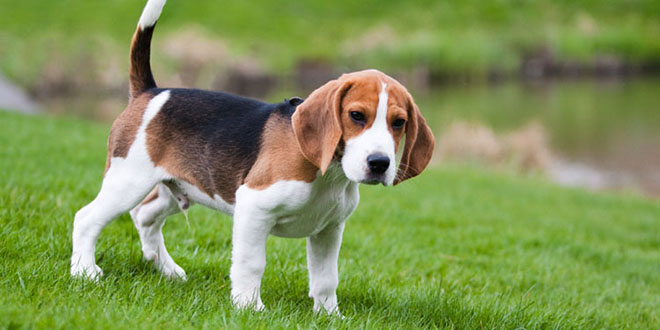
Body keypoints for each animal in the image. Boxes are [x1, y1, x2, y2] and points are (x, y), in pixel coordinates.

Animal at [71, 0, 434, 314]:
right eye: (357, 116)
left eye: (398, 123)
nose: (379, 164)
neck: (328, 172)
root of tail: (151, 92)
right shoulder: (254, 208)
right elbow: (252, 263)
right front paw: (249, 307)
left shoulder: (329, 229)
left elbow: (326, 278)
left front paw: (329, 316)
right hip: (128, 180)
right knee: (87, 218)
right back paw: (85, 271)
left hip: (180, 188)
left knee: (144, 216)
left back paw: (168, 270)